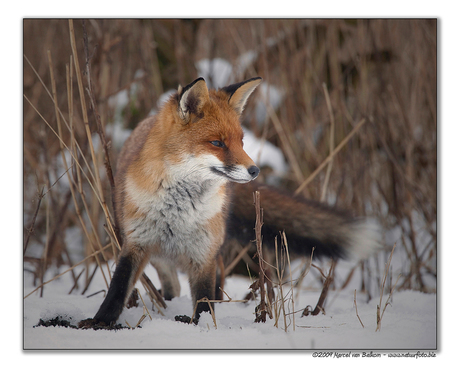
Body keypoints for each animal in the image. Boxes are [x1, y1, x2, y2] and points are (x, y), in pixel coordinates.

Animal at [80, 76, 262, 326]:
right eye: (217, 143)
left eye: (241, 142)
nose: (255, 171)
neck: (179, 212)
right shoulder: (136, 243)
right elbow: (118, 287)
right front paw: (100, 322)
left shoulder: (204, 254)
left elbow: (204, 299)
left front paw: (202, 325)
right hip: (159, 257)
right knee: (172, 286)